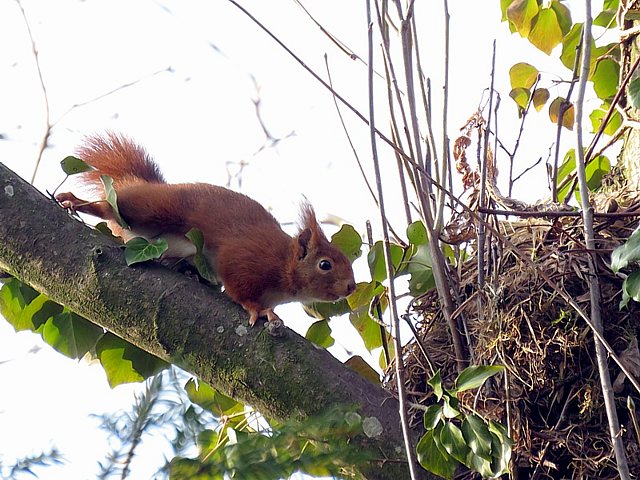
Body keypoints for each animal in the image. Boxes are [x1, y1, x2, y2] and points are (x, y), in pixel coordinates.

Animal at [56, 132, 356, 326]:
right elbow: (237, 286)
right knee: (111, 206)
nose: (351, 287)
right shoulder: (245, 257)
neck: (284, 263)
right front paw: (257, 309)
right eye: (325, 264)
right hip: (151, 208)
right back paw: (75, 200)